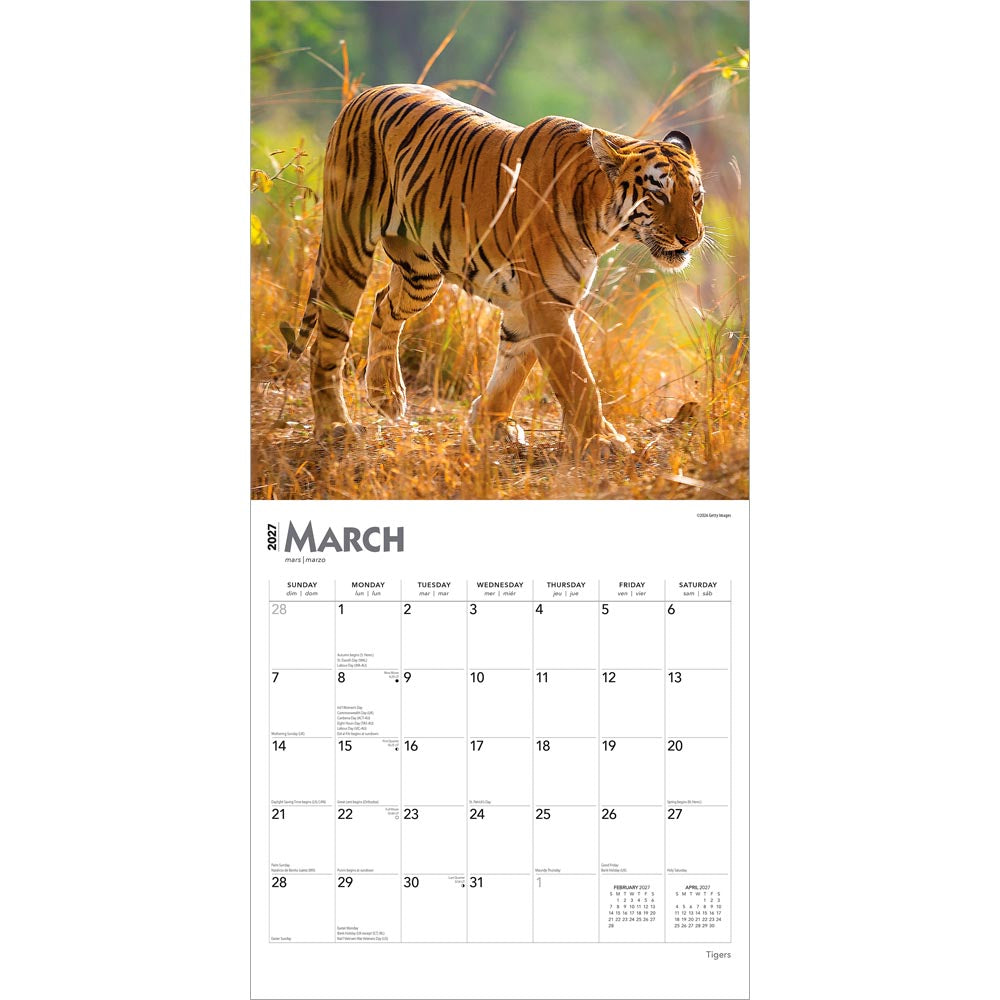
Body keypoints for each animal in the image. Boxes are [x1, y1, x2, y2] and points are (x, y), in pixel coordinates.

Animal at [280, 83, 705, 457]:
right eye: (658, 194)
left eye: (696, 196)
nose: (692, 238)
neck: (603, 222)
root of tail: (365, 94)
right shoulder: (547, 301)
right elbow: (578, 378)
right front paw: (602, 441)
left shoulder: (536, 303)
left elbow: (513, 370)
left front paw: (489, 422)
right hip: (347, 249)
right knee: (329, 341)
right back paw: (335, 426)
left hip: (421, 272)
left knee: (384, 306)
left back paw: (387, 396)